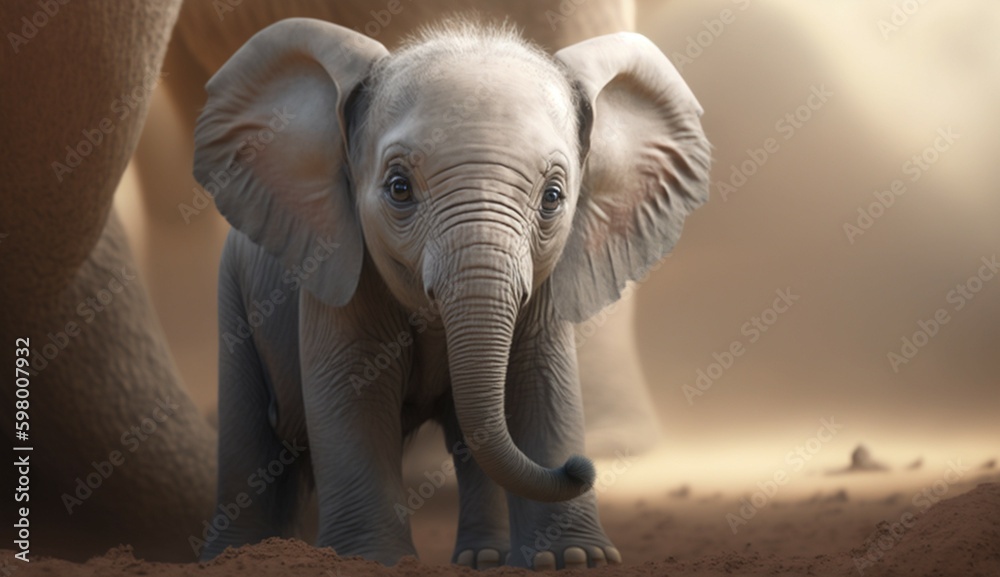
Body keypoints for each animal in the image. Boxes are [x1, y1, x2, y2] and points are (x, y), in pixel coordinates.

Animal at [194, 17, 709, 569]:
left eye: (553, 197)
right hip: (232, 292)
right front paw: (373, 562)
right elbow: (351, 394)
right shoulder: (342, 266)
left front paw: (576, 560)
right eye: (399, 188)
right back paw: (236, 555)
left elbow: (540, 386)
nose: (580, 466)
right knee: (251, 433)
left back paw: (483, 559)